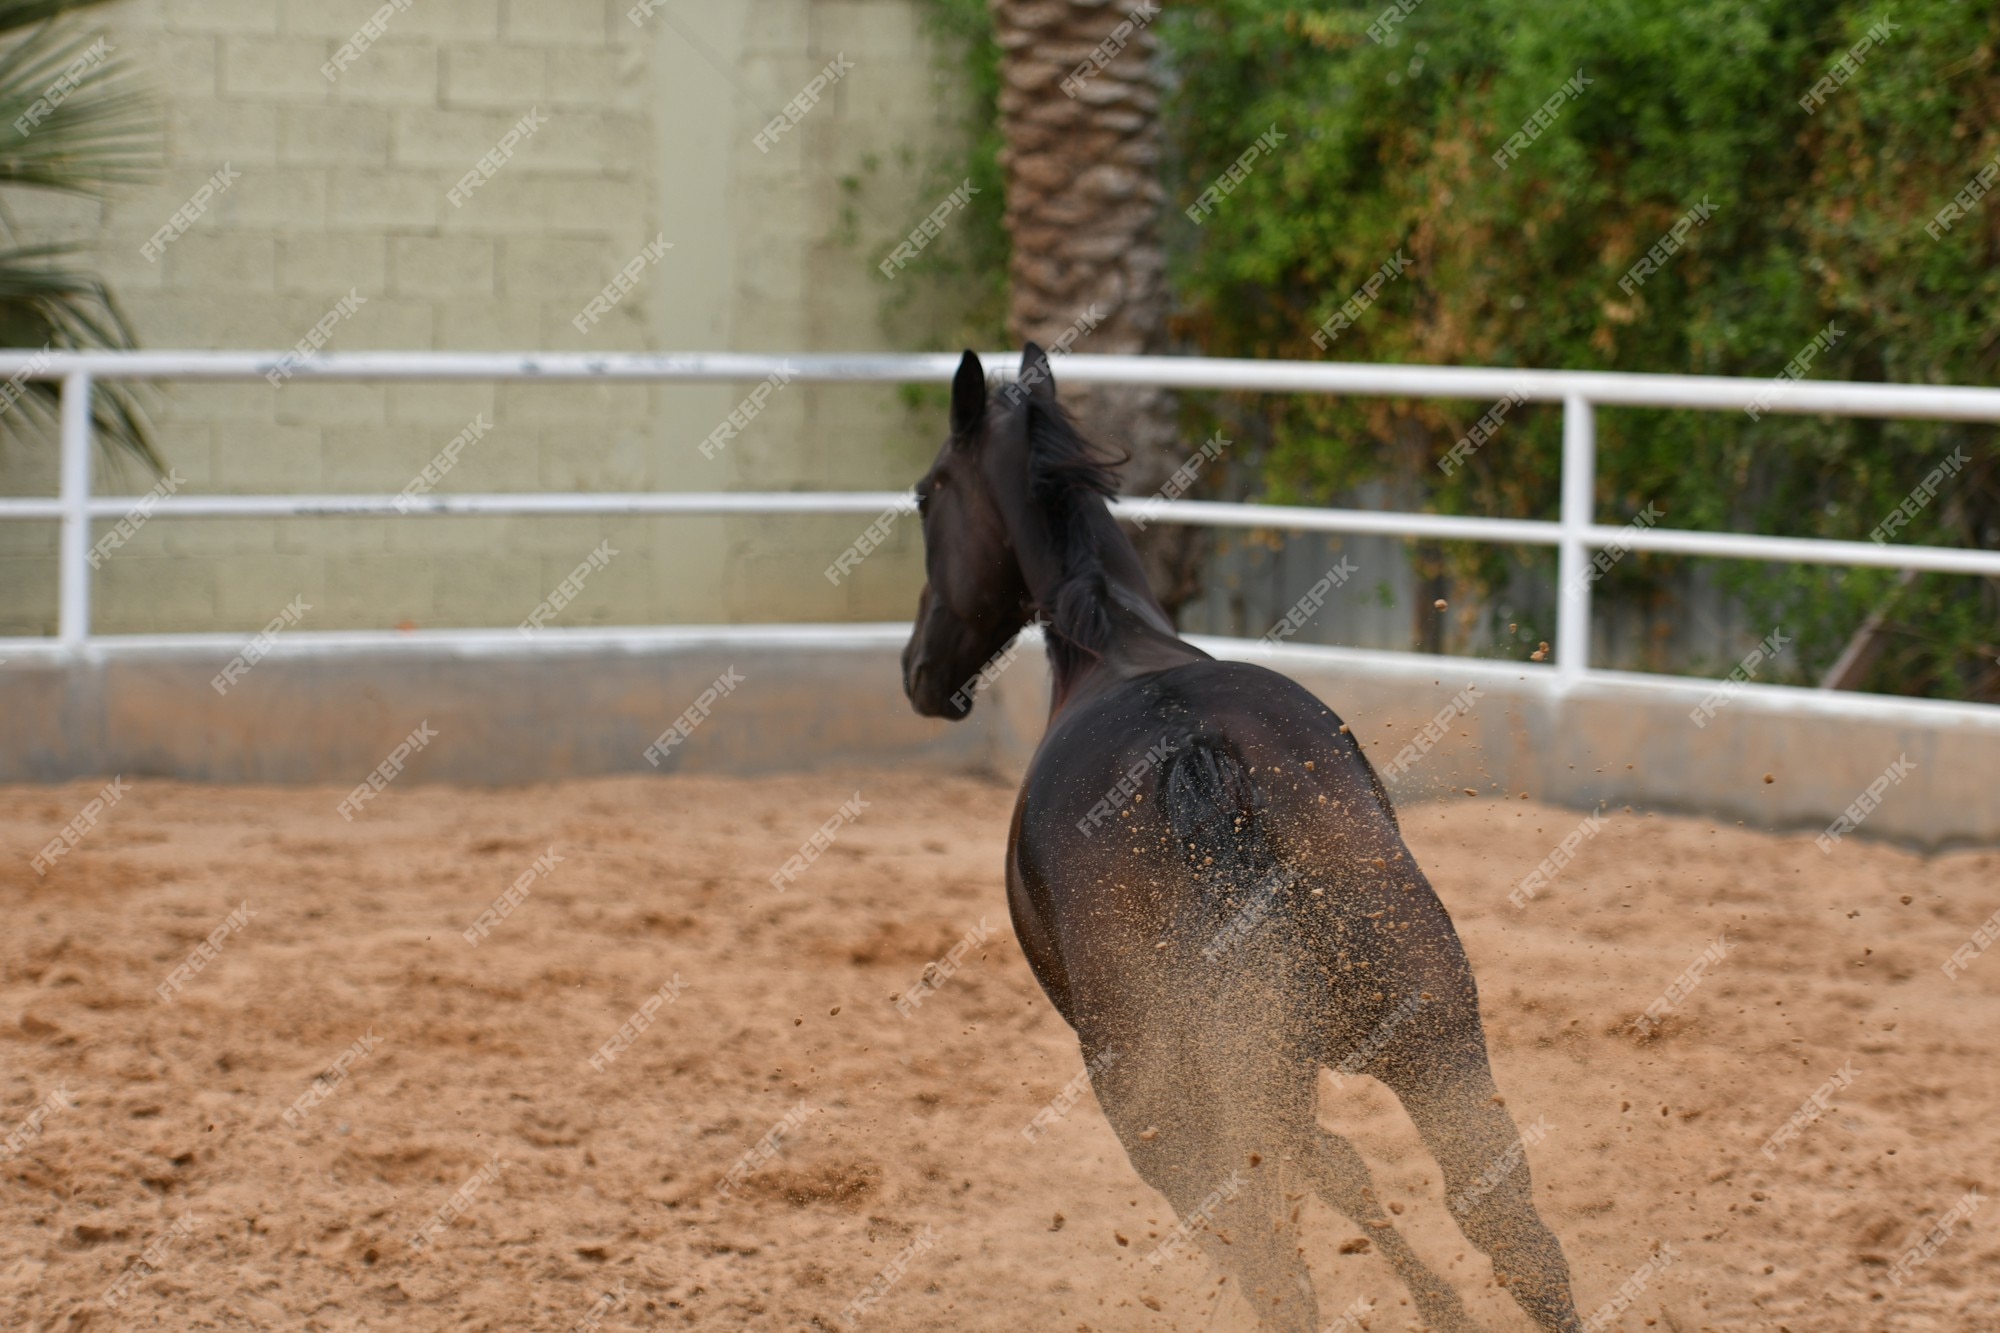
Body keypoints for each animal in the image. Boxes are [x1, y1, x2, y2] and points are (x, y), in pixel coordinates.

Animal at [904, 348, 1576, 1320]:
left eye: (927, 495)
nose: (920, 670)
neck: (1114, 643)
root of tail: (1195, 748)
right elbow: (1342, 1164)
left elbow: (1323, 1176)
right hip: (1434, 1031)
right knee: (1508, 1223)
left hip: (1162, 1105)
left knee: (1271, 1265)